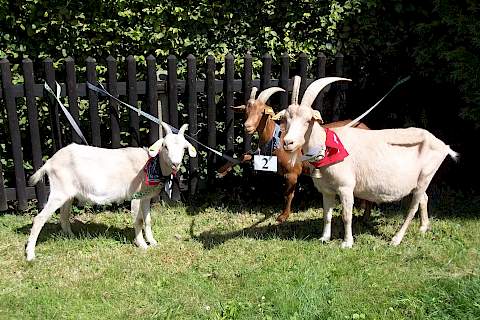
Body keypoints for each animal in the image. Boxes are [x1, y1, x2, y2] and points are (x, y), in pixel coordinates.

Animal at [25, 122, 195, 260]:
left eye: (184, 148)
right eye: (165, 146)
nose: (175, 163)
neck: (152, 164)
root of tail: (50, 162)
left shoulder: (146, 197)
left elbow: (147, 220)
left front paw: (153, 242)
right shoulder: (136, 195)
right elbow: (139, 220)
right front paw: (142, 245)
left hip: (67, 194)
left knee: (64, 215)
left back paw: (71, 237)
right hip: (59, 191)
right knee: (39, 219)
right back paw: (30, 255)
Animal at [274, 77, 458, 248]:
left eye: (308, 120)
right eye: (286, 119)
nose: (288, 143)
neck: (327, 147)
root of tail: (442, 145)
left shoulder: (346, 188)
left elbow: (346, 216)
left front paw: (347, 243)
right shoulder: (326, 190)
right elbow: (327, 214)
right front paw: (324, 238)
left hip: (427, 175)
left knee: (412, 207)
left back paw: (396, 239)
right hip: (418, 181)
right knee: (424, 198)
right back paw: (423, 227)